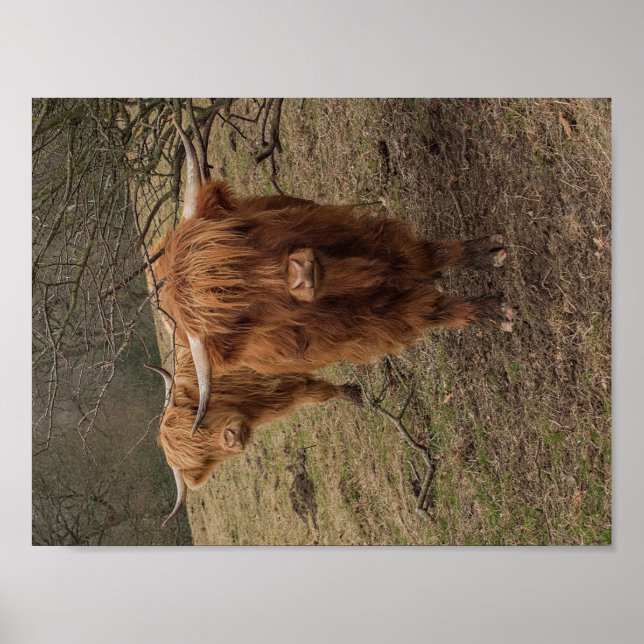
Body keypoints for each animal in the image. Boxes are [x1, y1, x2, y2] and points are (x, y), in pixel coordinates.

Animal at [145, 347, 362, 526]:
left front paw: (354, 393)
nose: (232, 438)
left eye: (195, 418)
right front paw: (353, 393)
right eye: (205, 457)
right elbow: (320, 394)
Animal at [151, 113, 513, 432]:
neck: (343, 280)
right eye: (242, 318)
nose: (301, 273)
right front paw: (494, 312)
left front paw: (488, 254)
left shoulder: (370, 240)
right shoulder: (374, 323)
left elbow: (429, 255)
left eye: (241, 232)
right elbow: (433, 311)